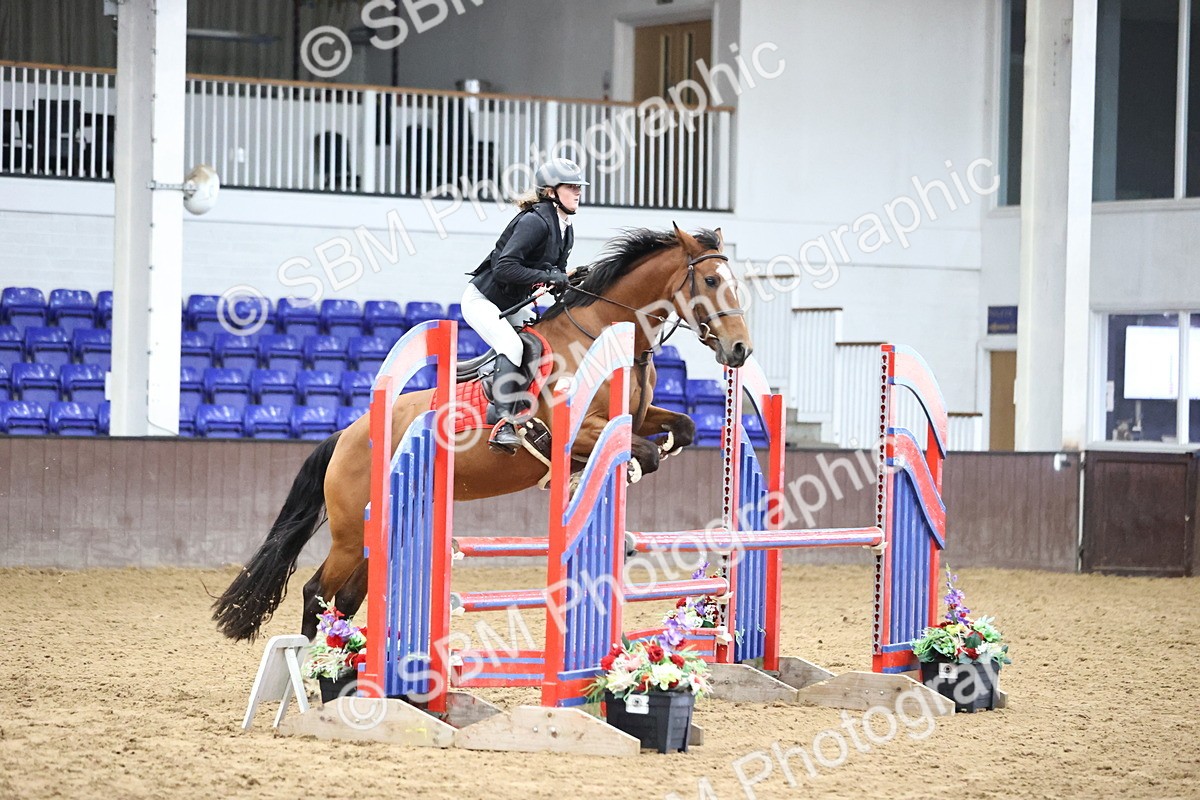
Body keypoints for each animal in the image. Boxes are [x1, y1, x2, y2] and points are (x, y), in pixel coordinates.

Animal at [212, 224, 752, 641]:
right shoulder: (572, 430)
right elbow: (640, 451)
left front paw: (643, 458)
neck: (605, 333)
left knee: (344, 599)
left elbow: (680, 428)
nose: (740, 349)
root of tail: (346, 435)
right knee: (316, 594)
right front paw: (616, 472)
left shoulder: (638, 416)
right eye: (709, 279)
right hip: (350, 533)